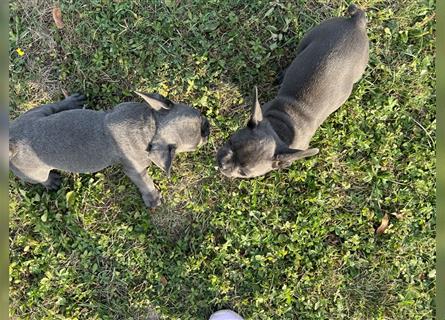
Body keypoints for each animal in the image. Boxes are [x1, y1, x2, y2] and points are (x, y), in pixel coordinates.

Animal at [9, 91, 210, 209]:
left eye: (201, 117)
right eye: (198, 141)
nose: (208, 129)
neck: (152, 127)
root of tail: (11, 139)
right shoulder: (135, 170)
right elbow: (145, 182)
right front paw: (152, 198)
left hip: (37, 113)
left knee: (51, 106)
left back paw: (71, 102)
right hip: (34, 172)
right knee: (40, 179)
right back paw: (51, 182)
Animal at [216, 5, 368, 179]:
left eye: (244, 173)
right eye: (230, 141)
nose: (222, 164)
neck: (279, 128)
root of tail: (356, 22)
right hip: (311, 38)